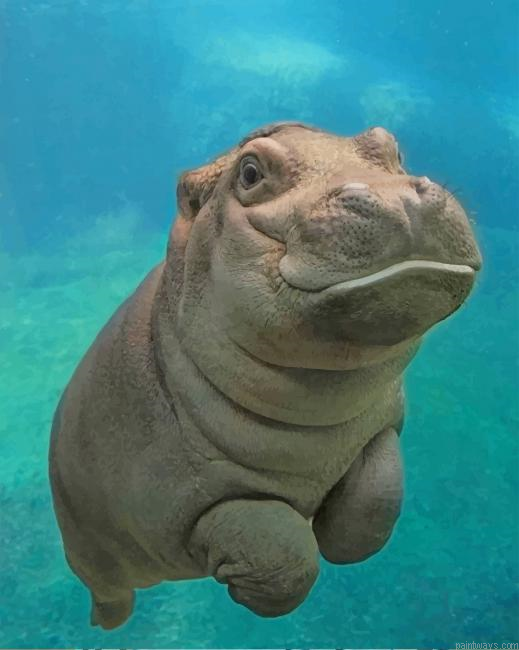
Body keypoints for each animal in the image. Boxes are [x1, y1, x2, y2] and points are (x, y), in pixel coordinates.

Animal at [49, 121, 482, 630]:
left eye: (392, 147)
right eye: (250, 172)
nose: (397, 197)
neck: (316, 410)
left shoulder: (381, 426)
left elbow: (378, 496)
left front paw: (340, 540)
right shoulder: (180, 502)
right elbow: (282, 554)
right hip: (89, 552)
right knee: (110, 590)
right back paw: (106, 624)